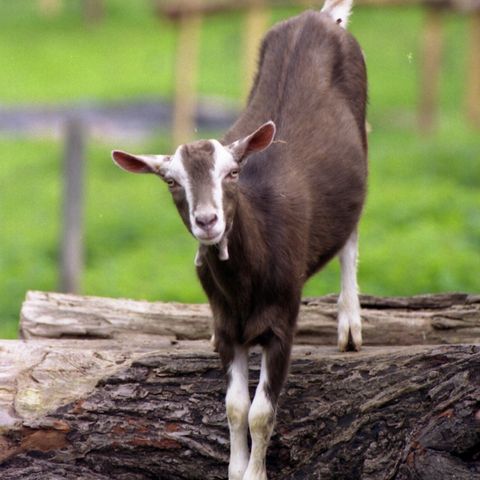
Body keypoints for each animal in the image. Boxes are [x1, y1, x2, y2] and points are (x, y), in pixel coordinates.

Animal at [112, 1, 368, 478]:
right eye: (171, 182)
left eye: (232, 173)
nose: (207, 220)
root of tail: (319, 16)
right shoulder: (228, 323)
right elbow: (234, 407)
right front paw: (235, 468)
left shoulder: (283, 318)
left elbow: (261, 412)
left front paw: (255, 471)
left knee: (351, 235)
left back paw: (350, 326)